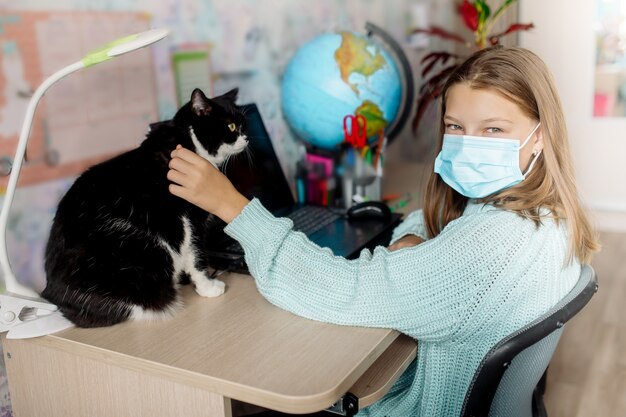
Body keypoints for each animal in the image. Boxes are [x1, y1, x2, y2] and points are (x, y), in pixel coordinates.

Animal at [40, 88, 246, 328]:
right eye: (231, 126)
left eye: (244, 124)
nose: (247, 137)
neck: (187, 142)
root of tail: (52, 294)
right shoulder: (190, 220)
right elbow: (197, 257)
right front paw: (208, 287)